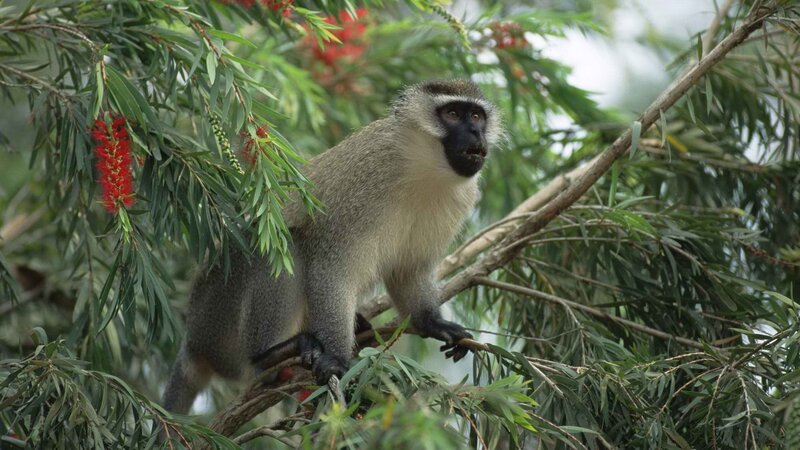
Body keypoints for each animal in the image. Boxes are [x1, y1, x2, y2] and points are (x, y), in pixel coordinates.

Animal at [162, 79, 502, 414]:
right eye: (453, 113)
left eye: (476, 117)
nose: (475, 133)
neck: (423, 169)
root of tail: (193, 341)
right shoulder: (364, 182)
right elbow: (333, 270)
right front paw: (337, 358)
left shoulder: (460, 199)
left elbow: (408, 271)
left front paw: (433, 322)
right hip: (219, 322)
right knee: (286, 245)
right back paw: (269, 357)